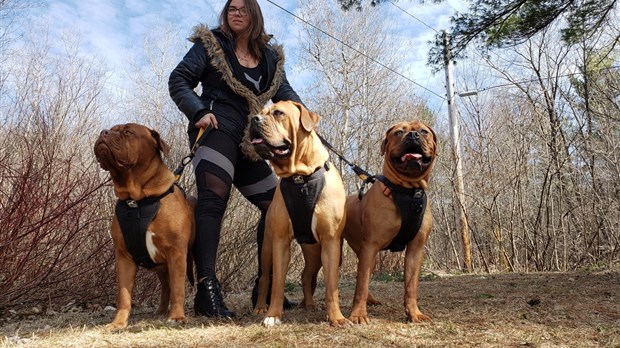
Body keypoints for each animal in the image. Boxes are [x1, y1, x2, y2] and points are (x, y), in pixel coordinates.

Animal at [93, 123, 195, 328]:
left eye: (128, 132)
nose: (103, 132)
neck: (137, 201)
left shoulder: (177, 252)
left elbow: (178, 288)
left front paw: (177, 316)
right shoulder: (124, 257)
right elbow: (124, 295)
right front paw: (118, 322)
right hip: (161, 267)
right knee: (166, 286)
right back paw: (161, 311)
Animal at [248, 100, 354, 326]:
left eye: (278, 113)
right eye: (260, 113)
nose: (254, 119)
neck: (301, 177)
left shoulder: (331, 241)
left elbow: (332, 286)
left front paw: (337, 318)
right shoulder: (280, 241)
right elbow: (278, 283)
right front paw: (273, 315)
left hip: (315, 252)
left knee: (307, 275)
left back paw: (310, 304)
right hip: (267, 247)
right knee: (265, 278)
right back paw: (261, 307)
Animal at [344, 119, 436, 324]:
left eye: (424, 131)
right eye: (399, 132)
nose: (413, 135)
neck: (407, 191)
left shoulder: (415, 249)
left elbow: (411, 286)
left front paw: (414, 313)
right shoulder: (371, 245)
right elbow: (360, 287)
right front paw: (358, 315)